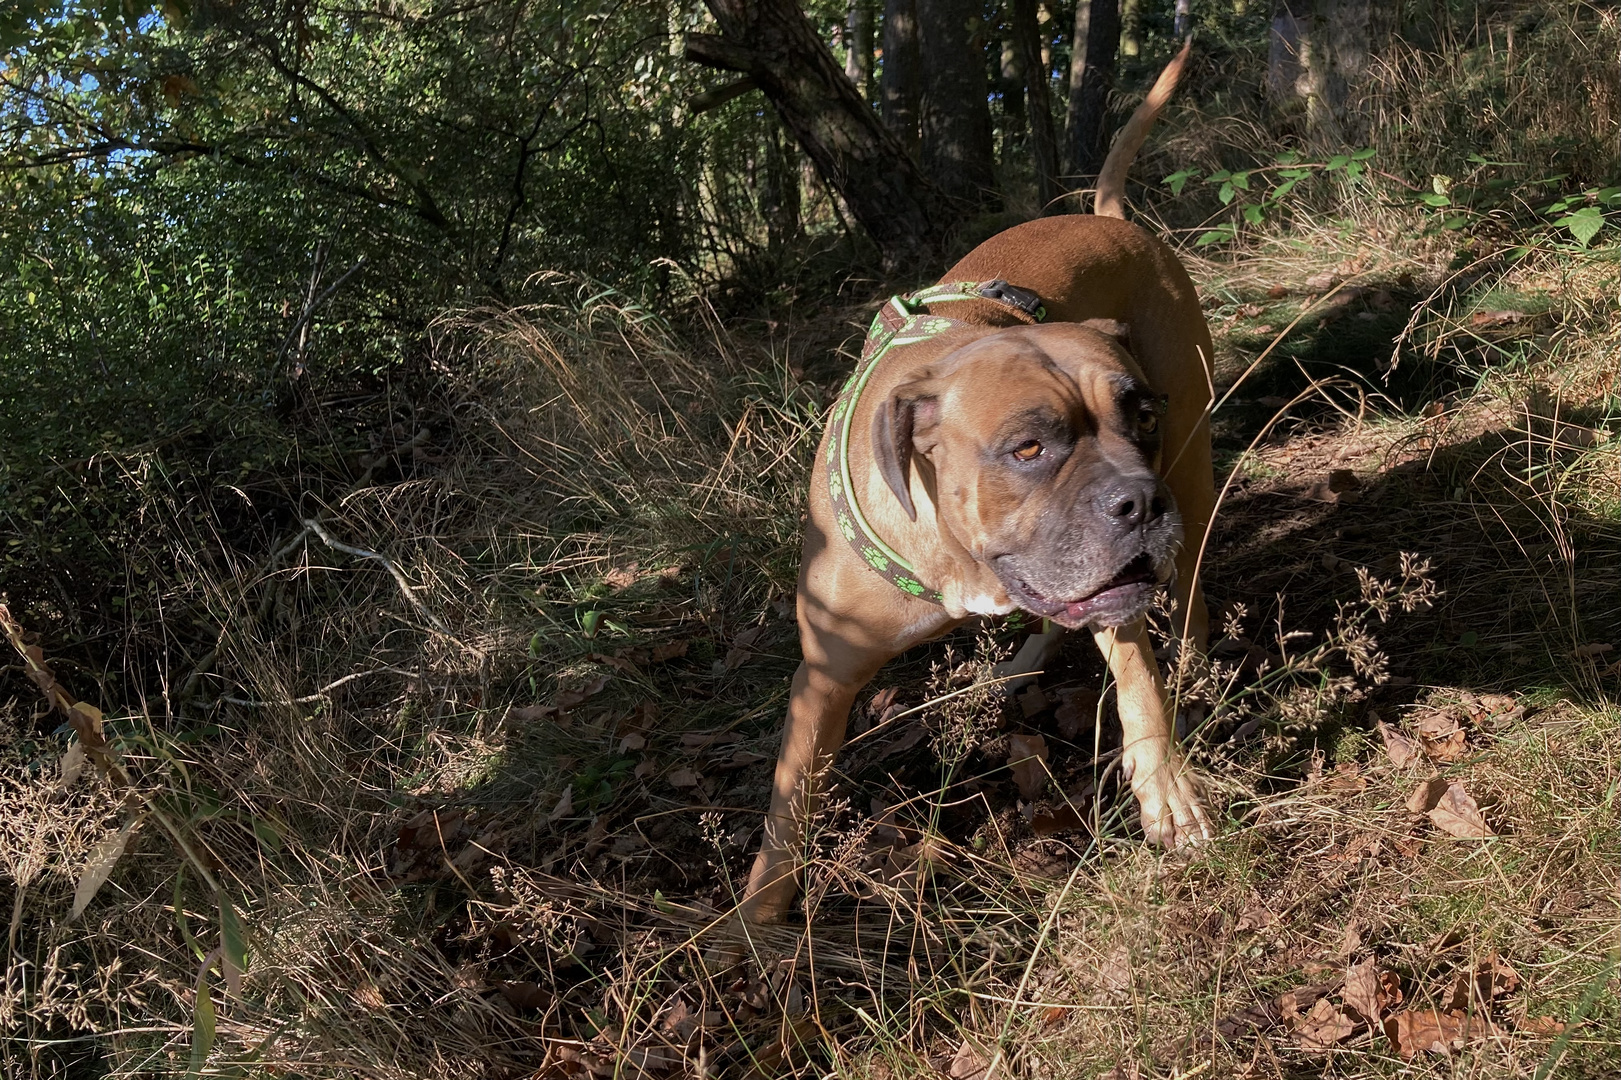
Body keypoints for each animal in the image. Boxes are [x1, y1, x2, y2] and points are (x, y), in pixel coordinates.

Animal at [742, 46, 1212, 921]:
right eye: (1026, 448)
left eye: (1139, 417)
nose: (1137, 503)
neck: (954, 554)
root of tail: (1111, 218)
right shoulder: (822, 680)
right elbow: (789, 806)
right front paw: (749, 925)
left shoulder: (1112, 587)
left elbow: (1137, 680)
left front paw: (1164, 790)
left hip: (1191, 467)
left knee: (1189, 581)